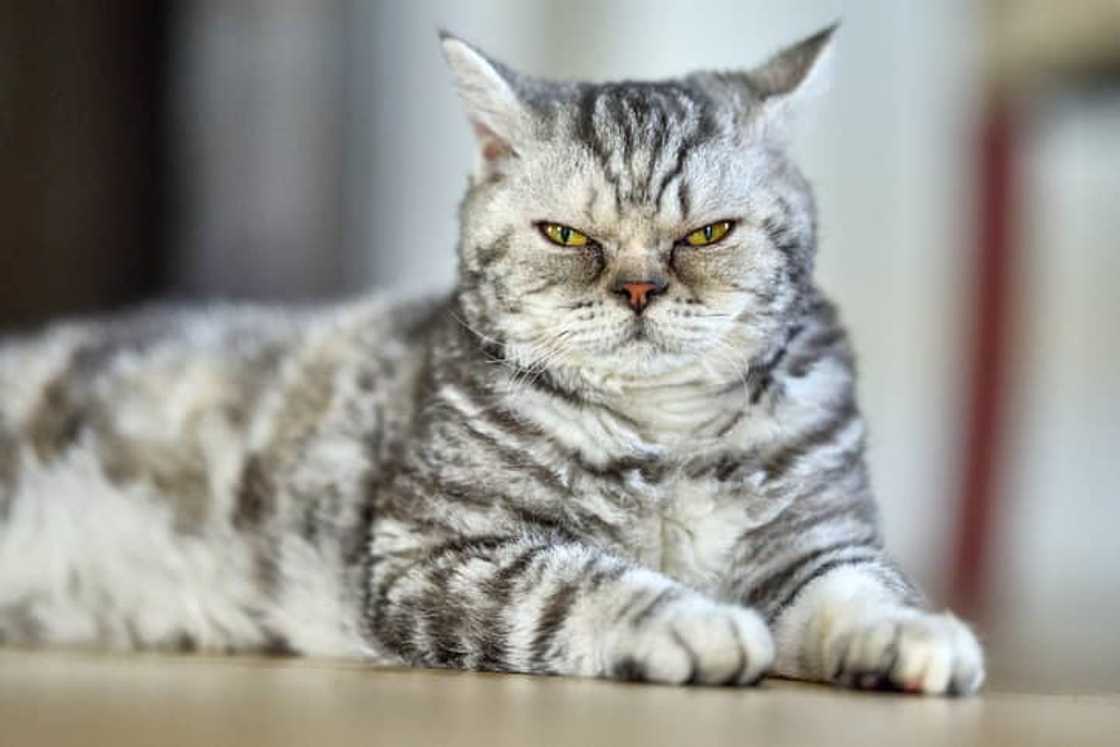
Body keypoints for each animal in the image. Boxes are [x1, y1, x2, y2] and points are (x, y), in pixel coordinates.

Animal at [0, 26, 981, 698]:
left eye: (706, 234)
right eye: (566, 236)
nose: (638, 288)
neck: (666, 436)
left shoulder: (819, 550)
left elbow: (869, 595)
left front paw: (916, 639)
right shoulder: (440, 554)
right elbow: (583, 581)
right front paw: (696, 621)